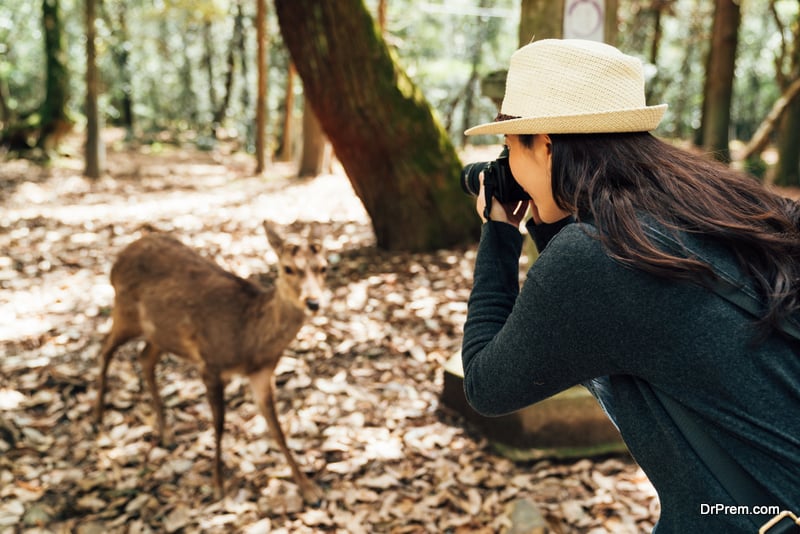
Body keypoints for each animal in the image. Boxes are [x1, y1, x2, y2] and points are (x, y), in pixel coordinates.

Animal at [94, 220, 328, 504]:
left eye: (323, 267)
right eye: (288, 268)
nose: (313, 302)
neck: (250, 340)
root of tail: (118, 259)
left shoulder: (263, 373)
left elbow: (277, 429)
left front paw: (309, 489)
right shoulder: (211, 365)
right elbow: (219, 425)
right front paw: (217, 485)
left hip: (161, 332)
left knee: (144, 357)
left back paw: (167, 434)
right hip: (125, 312)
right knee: (105, 349)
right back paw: (97, 416)